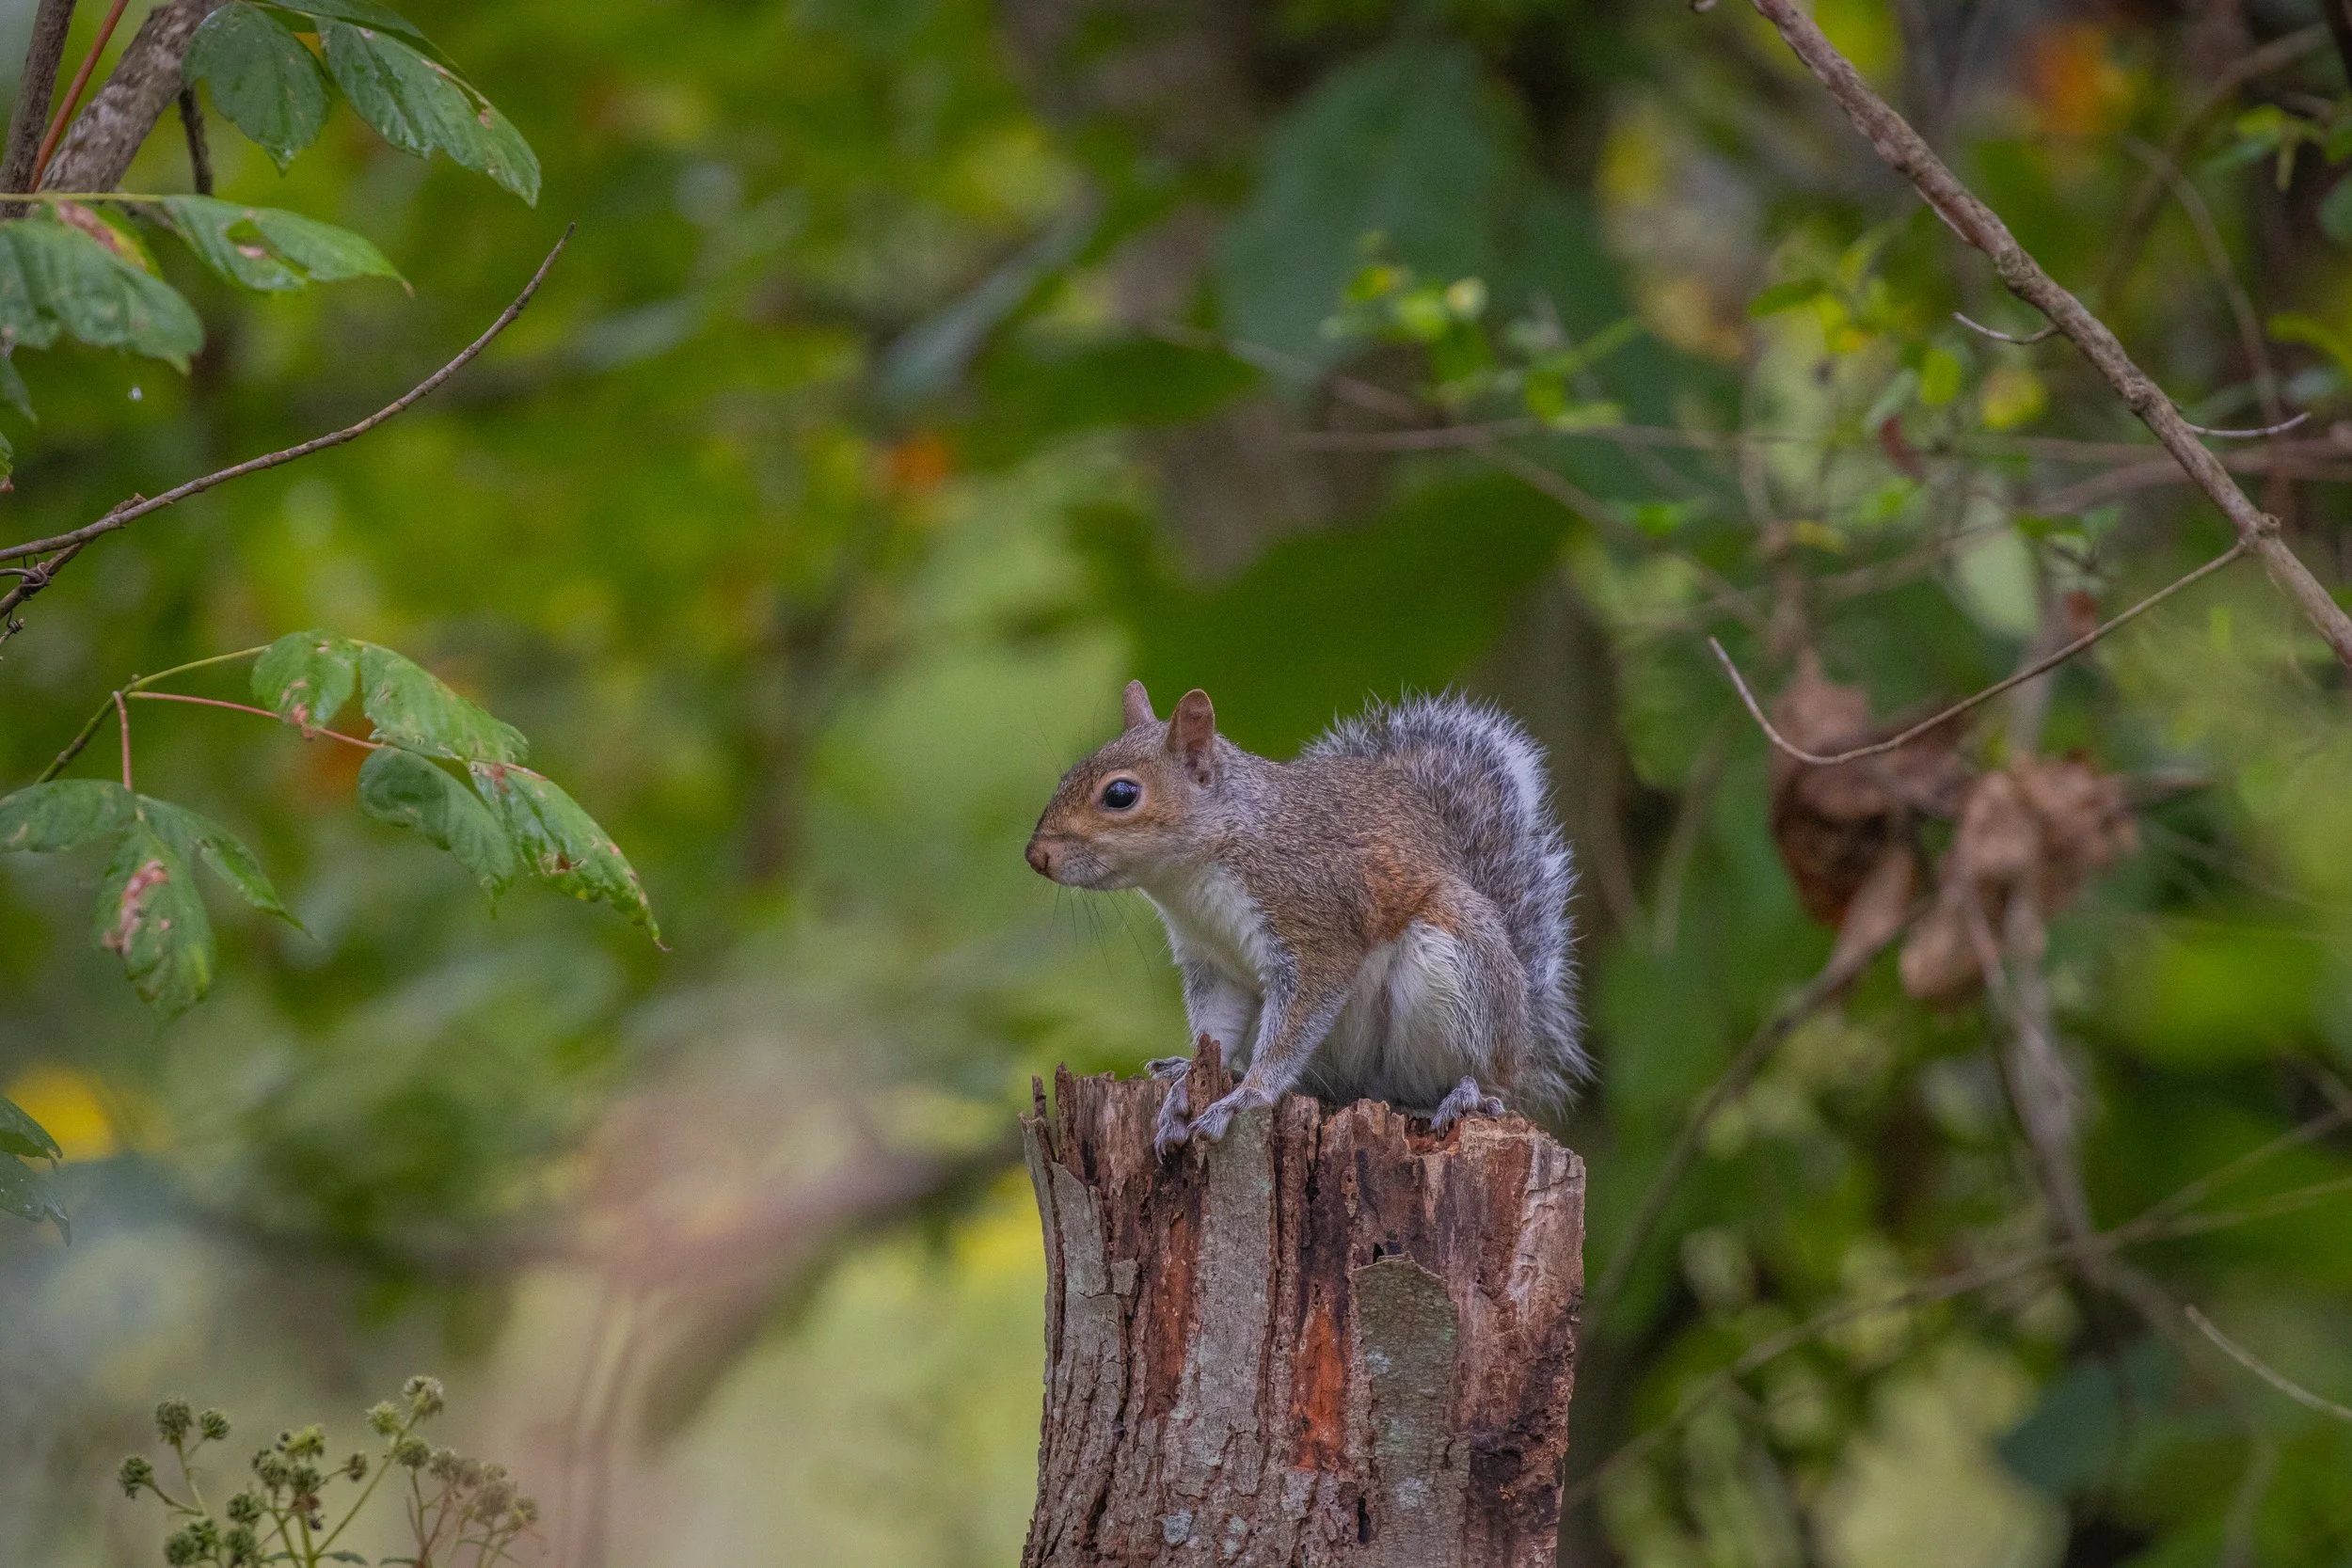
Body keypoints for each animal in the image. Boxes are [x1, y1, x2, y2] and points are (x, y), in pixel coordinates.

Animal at [1026, 680, 1586, 1155]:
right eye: (1065, 776)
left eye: (1120, 794)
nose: (1036, 856)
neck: (1192, 881)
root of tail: (1523, 1036)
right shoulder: (1214, 965)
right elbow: (1216, 1031)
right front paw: (1188, 1084)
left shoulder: (1315, 929)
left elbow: (1294, 1024)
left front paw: (1247, 1096)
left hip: (1454, 969)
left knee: (1476, 1072)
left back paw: (1468, 1092)